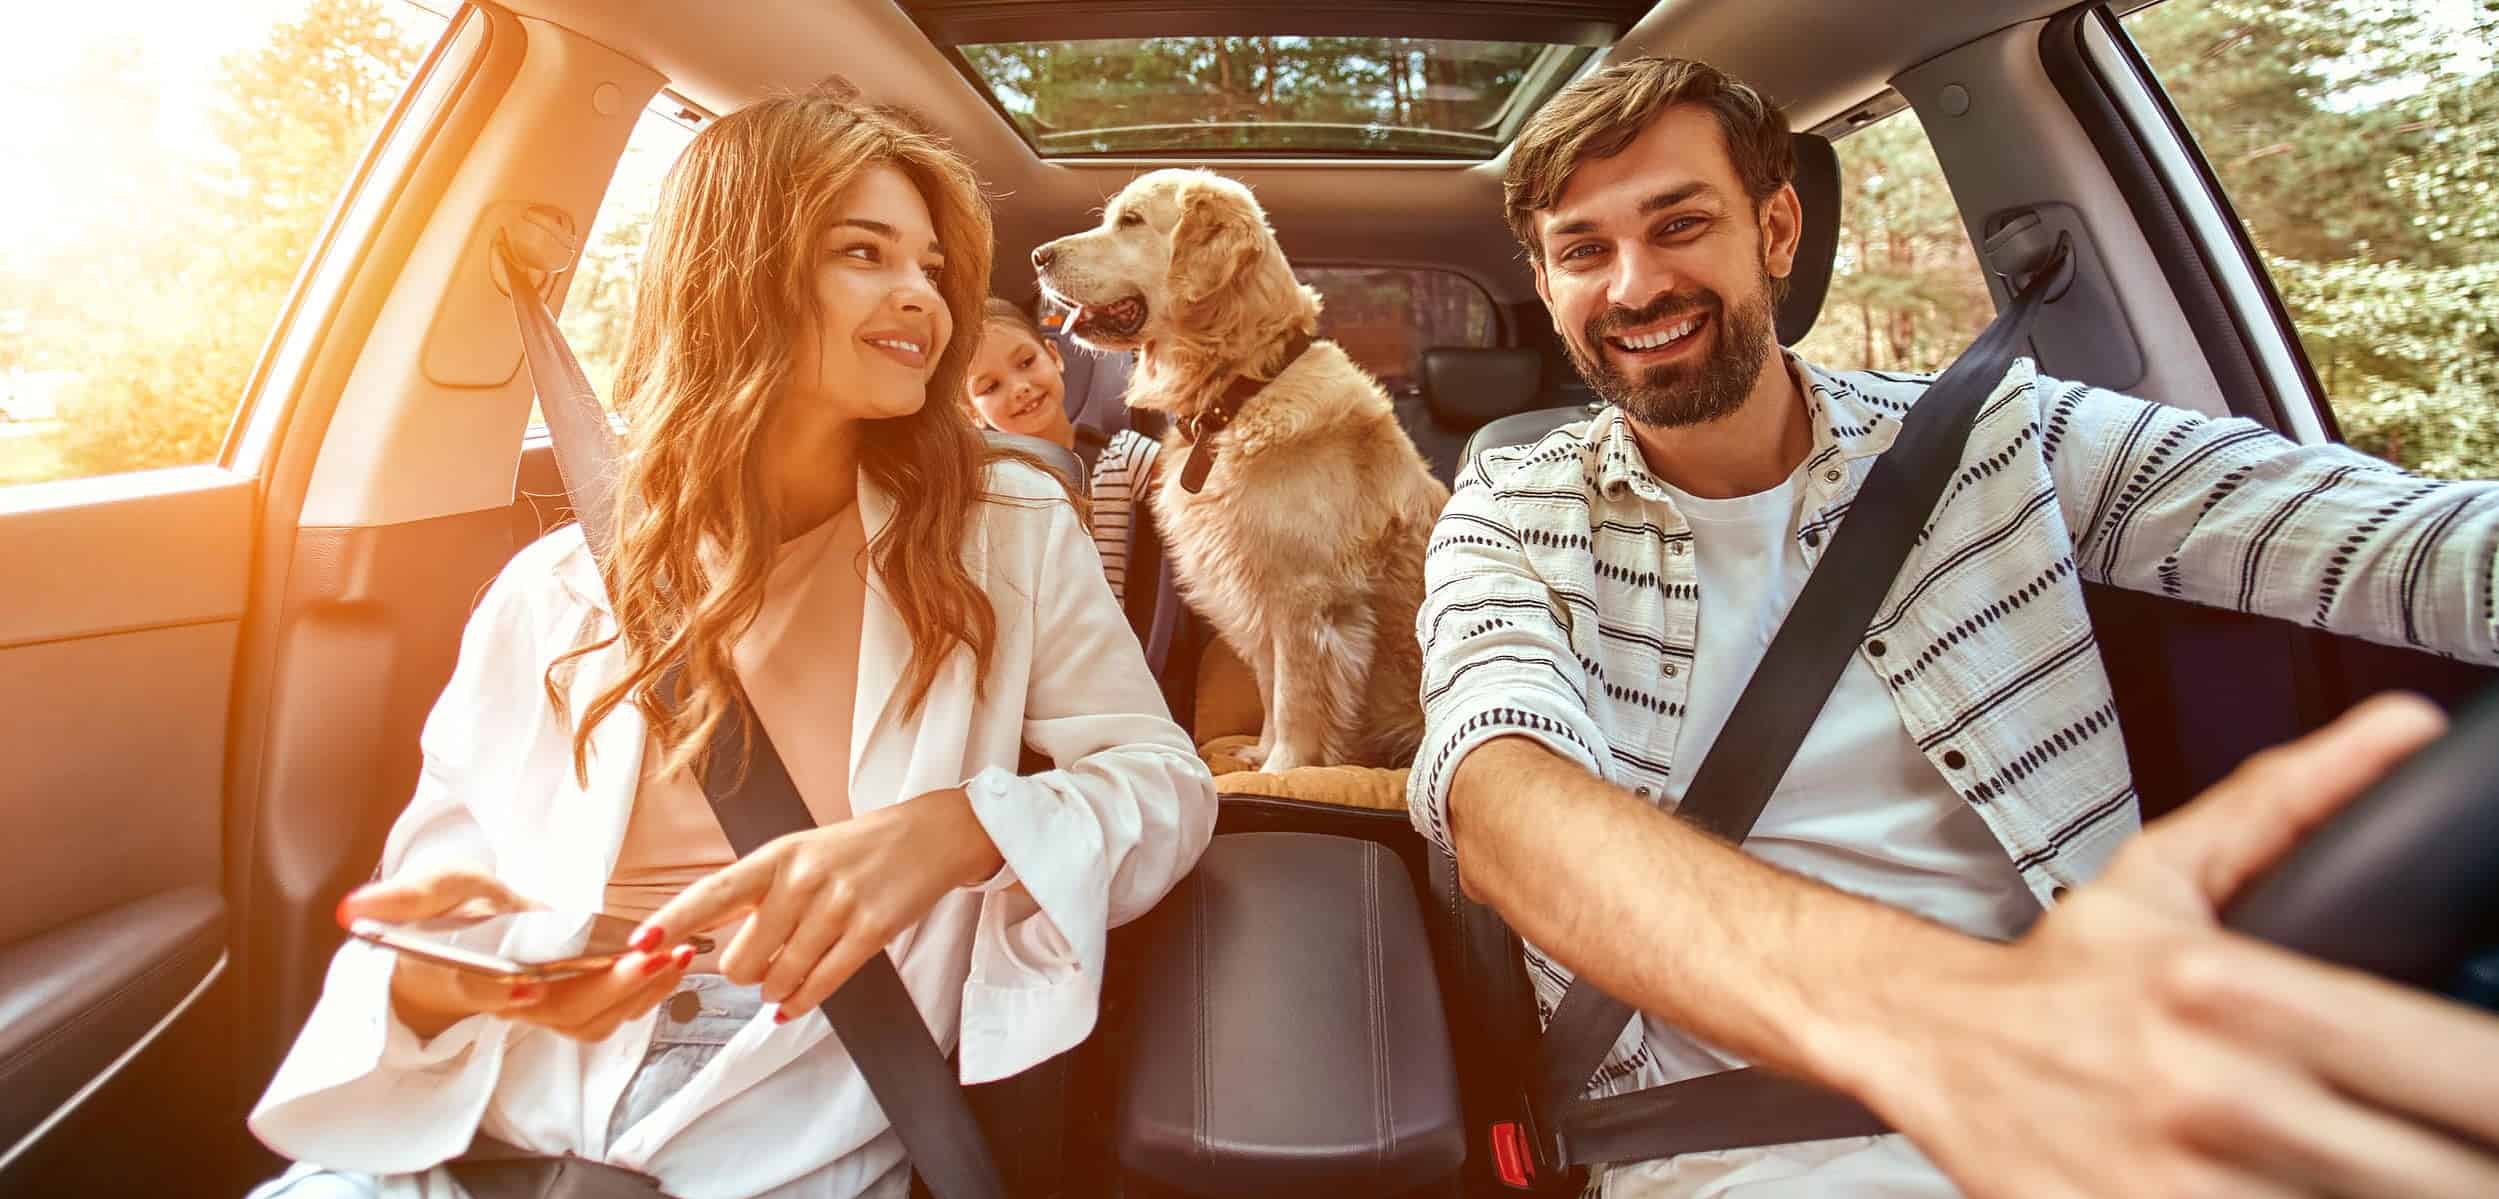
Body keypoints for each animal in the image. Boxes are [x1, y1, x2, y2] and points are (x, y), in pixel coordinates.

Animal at [1029, 168, 1449, 774]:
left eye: (1130, 221)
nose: (1037, 256)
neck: (1239, 393)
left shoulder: (1303, 597)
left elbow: (1295, 698)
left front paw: (1284, 770)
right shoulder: (1253, 590)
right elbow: (1271, 690)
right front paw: (1262, 752)